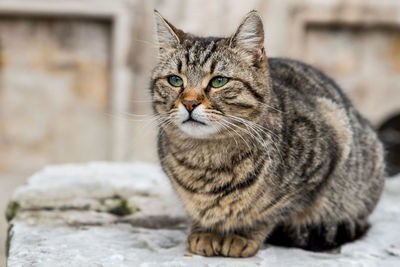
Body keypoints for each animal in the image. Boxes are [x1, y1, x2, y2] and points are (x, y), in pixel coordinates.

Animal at [149, 9, 384, 258]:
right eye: (175, 80)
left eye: (219, 81)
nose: (190, 103)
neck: (206, 158)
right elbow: (198, 210)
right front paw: (204, 230)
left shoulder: (319, 163)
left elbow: (267, 212)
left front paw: (242, 234)